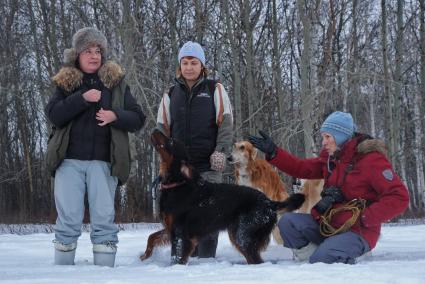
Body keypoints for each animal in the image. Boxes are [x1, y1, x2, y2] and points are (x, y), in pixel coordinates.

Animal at [141, 130, 304, 266]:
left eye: (171, 141)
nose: (156, 130)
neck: (178, 183)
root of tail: (269, 202)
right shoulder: (171, 228)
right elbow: (152, 236)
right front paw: (145, 256)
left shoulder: (181, 233)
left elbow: (176, 257)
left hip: (242, 235)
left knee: (256, 260)